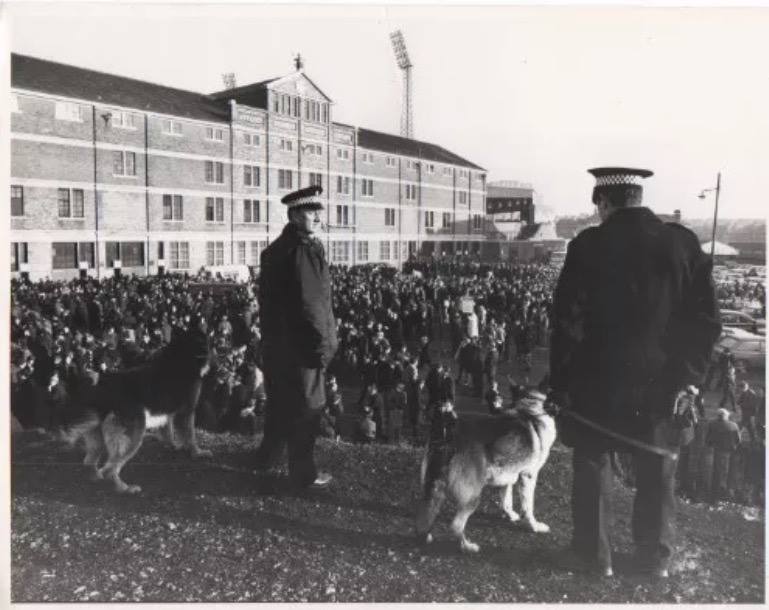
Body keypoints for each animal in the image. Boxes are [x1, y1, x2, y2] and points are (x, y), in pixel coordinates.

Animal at [60, 326, 212, 492]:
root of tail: (100, 386)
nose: (208, 350)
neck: (180, 354)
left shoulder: (167, 413)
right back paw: (125, 488)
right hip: (135, 433)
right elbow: (190, 436)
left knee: (90, 462)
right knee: (110, 468)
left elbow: (168, 432)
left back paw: (96, 478)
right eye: (200, 339)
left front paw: (173, 446)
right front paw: (197, 453)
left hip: (98, 438)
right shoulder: (187, 411)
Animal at [416, 390, 556, 552]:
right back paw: (468, 547)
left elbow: (506, 501)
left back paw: (427, 536)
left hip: (433, 488)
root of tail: (449, 433)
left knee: (426, 516)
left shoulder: (508, 474)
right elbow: (528, 508)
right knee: (456, 526)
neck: (531, 409)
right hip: (472, 497)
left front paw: (510, 515)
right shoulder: (528, 476)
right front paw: (534, 526)